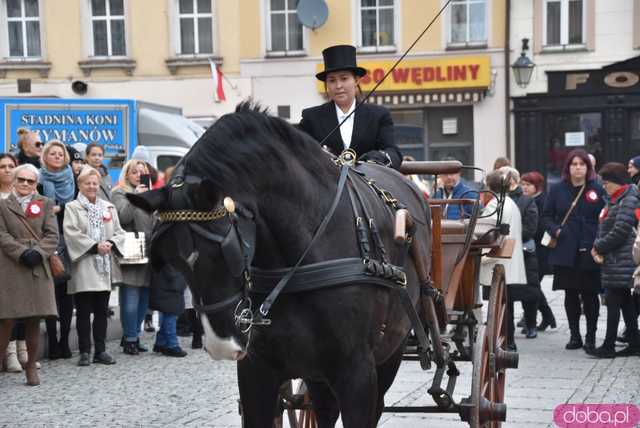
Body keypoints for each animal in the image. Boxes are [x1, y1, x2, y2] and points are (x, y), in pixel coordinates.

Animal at [127, 103, 430, 428]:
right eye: (172, 261)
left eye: (225, 252)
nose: (221, 344)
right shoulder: (257, 370)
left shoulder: (357, 371)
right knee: (324, 409)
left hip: (391, 351)